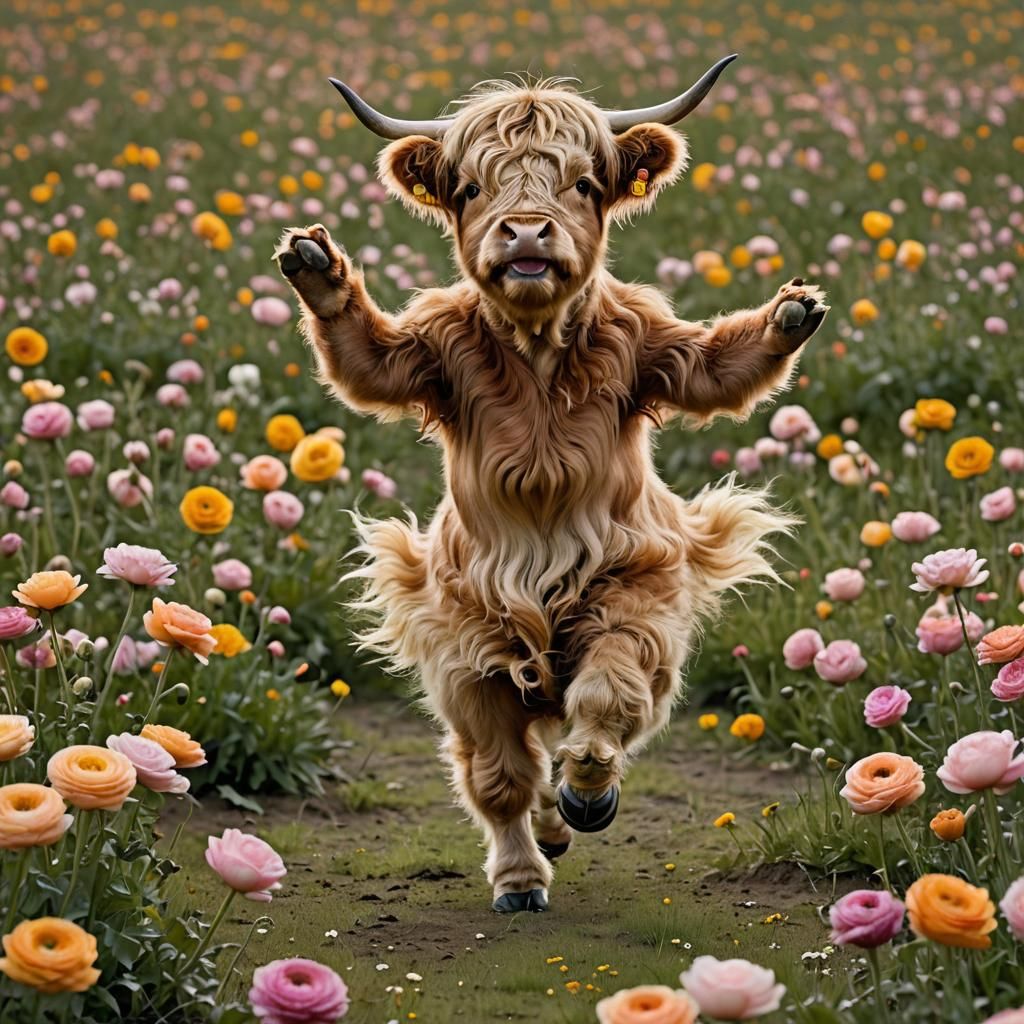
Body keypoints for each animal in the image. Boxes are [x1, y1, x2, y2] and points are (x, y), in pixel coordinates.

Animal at [276, 56, 827, 913]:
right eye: (471, 187)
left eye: (583, 183)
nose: (528, 234)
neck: (536, 353)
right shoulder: (465, 647)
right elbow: (498, 778)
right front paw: (519, 880)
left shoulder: (635, 586)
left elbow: (605, 706)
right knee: (509, 761)